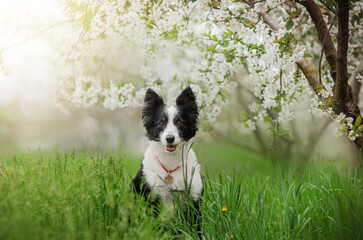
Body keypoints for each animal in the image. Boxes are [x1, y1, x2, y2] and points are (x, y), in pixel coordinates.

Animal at [132, 86, 203, 221]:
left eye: (180, 122)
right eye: (161, 123)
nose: (170, 138)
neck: (170, 162)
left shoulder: (194, 195)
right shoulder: (152, 195)